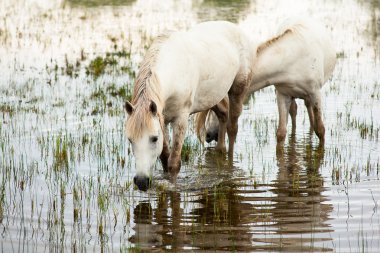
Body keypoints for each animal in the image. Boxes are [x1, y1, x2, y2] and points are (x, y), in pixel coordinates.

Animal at [124, 20, 255, 190]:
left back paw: (230, 167)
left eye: (153, 139)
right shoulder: (162, 120)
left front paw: (173, 187)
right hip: (213, 96)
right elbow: (165, 157)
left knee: (232, 129)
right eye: (130, 140)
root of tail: (236, 29)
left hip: (237, 92)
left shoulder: (180, 120)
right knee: (222, 116)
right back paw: (220, 151)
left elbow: (174, 163)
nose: (141, 181)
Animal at [196, 17, 336, 147]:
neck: (292, 58)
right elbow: (281, 133)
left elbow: (320, 130)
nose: (208, 135)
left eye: (217, 109)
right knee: (294, 110)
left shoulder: (315, 93)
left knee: (309, 109)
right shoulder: (283, 95)